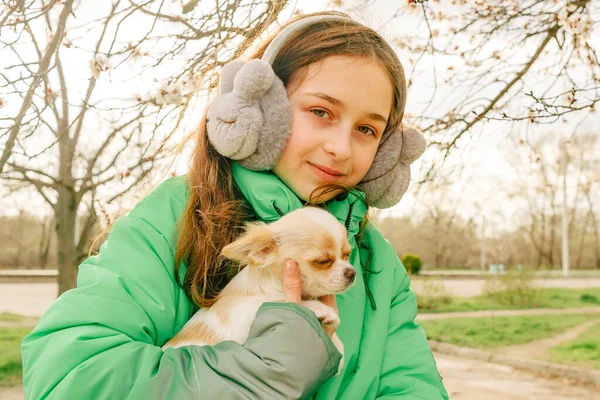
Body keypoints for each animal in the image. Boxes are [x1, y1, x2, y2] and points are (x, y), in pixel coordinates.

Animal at [162, 206, 354, 372]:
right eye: (322, 261)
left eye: (347, 255)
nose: (352, 272)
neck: (273, 286)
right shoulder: (243, 316)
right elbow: (279, 302)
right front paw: (320, 308)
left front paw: (337, 350)